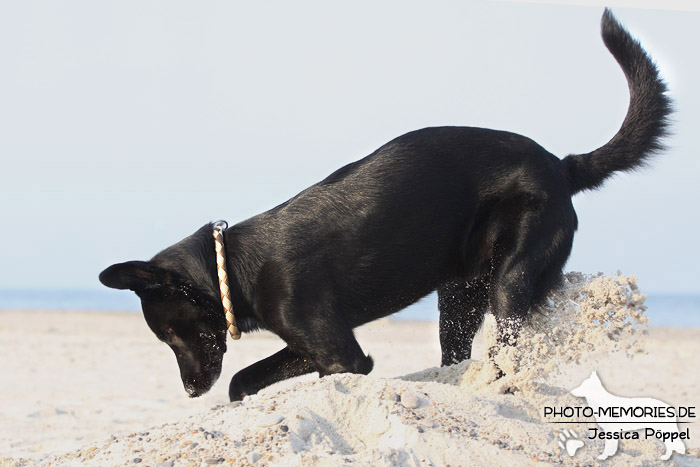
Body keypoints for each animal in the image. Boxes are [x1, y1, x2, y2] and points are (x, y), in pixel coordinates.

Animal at [100, 11, 672, 404]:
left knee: (510, 346)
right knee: (459, 353)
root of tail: (560, 165)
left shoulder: (341, 353)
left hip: (511, 280)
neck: (235, 266)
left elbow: (278, 374)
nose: (189, 391)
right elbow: (244, 380)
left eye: (170, 334)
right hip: (459, 298)